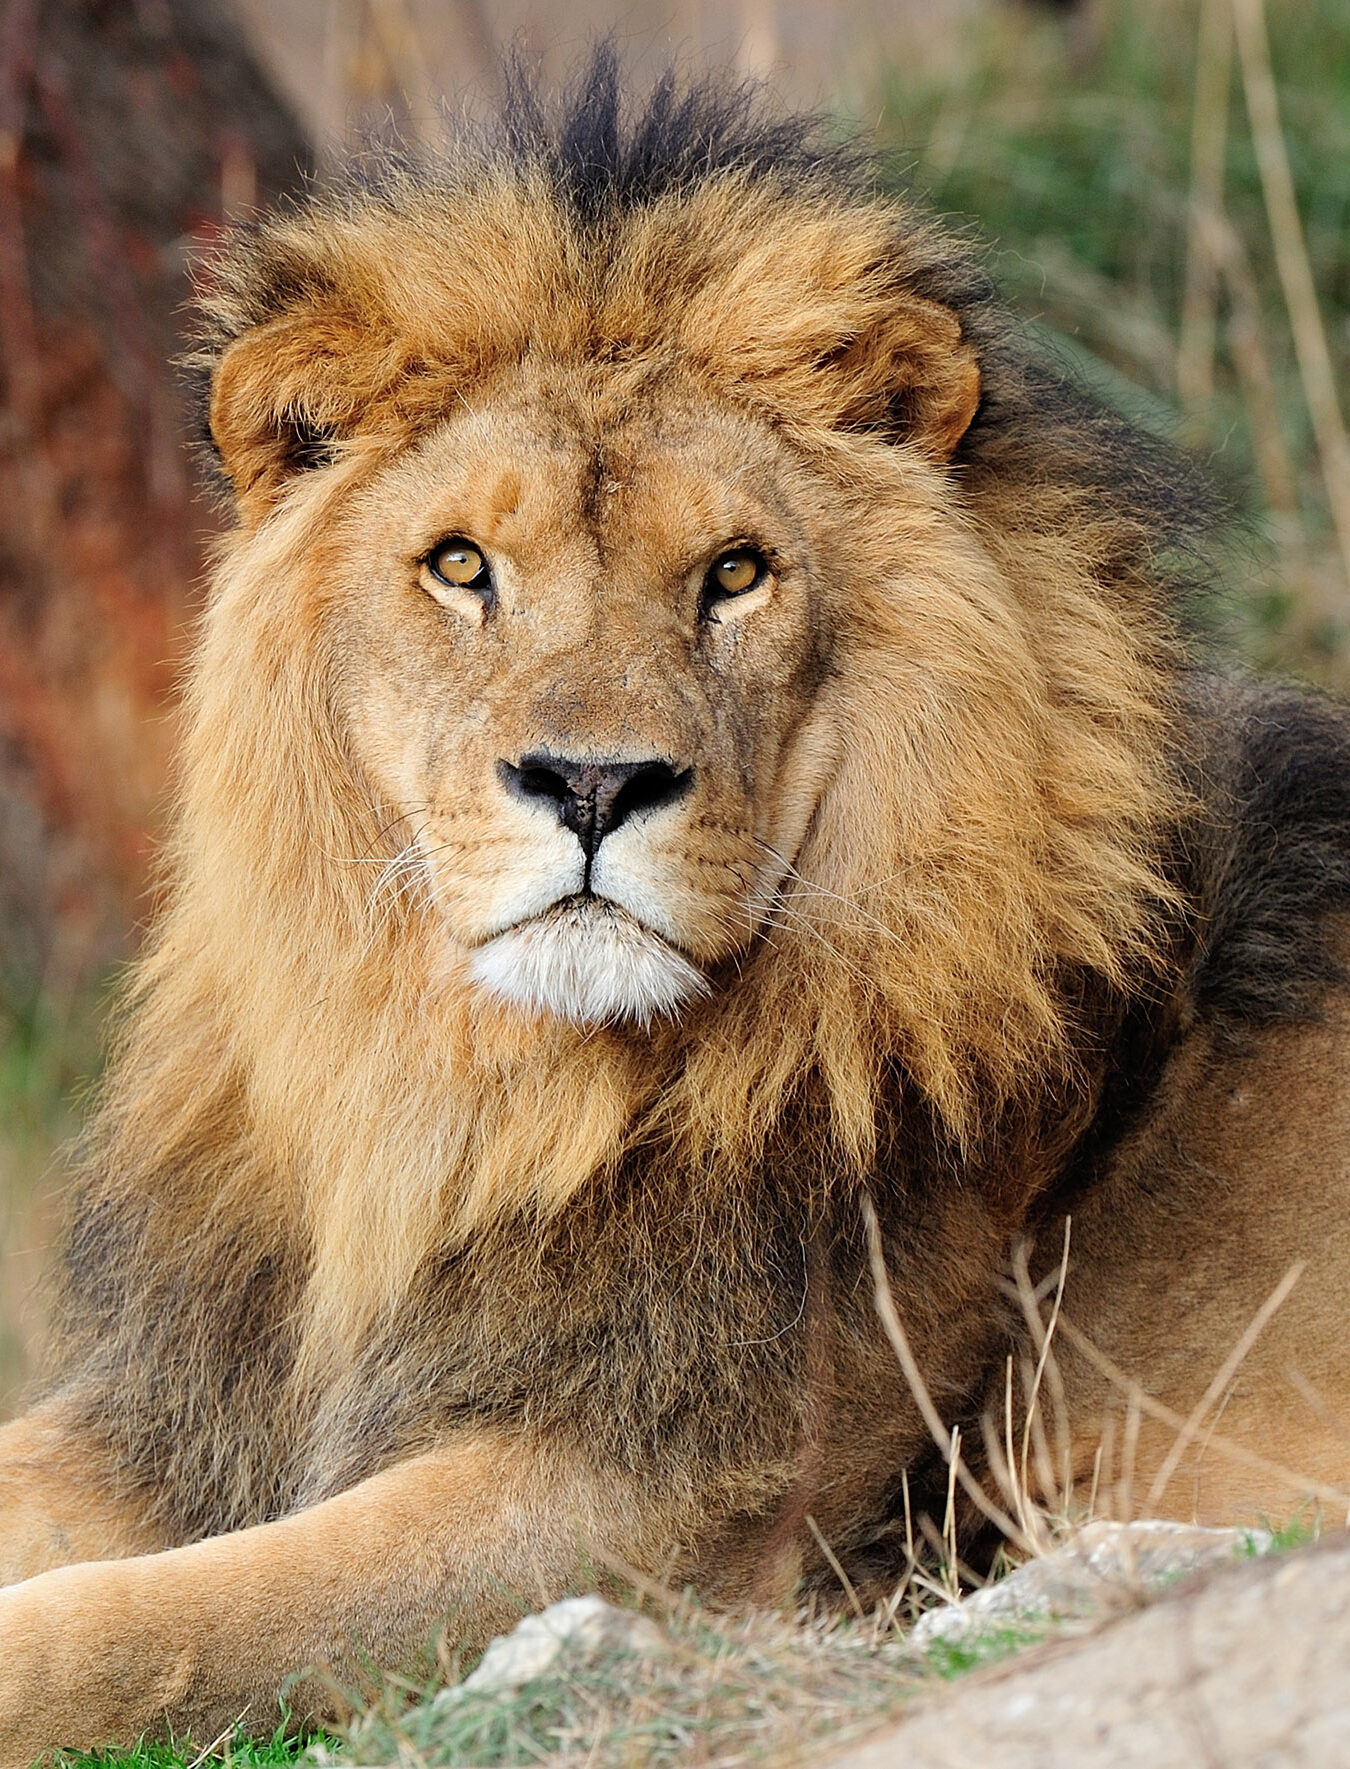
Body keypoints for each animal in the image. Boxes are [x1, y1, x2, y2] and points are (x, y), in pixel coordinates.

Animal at [0, 56, 1349, 1761]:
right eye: (461, 566)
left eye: (734, 572)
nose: (591, 783)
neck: (469, 1103)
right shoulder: (194, 1401)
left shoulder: (669, 1507)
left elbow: (174, 1619)